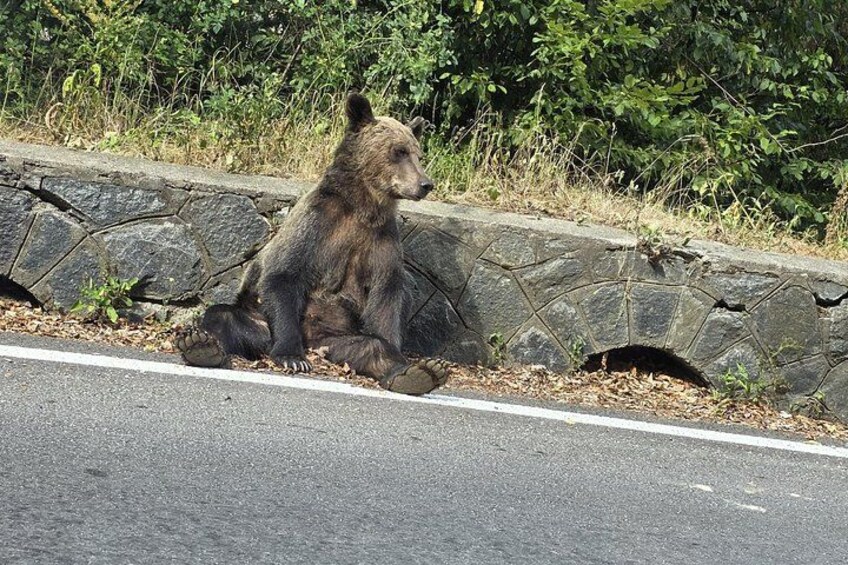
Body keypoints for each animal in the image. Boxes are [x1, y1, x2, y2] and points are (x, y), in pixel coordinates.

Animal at [176, 93, 448, 395]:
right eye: (398, 151)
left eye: (418, 154)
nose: (425, 184)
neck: (363, 206)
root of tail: (313, 343)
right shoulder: (317, 224)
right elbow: (284, 274)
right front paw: (292, 358)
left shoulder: (381, 240)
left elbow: (387, 295)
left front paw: (405, 360)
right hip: (261, 322)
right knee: (223, 318)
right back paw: (201, 346)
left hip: (337, 341)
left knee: (370, 347)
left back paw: (418, 373)